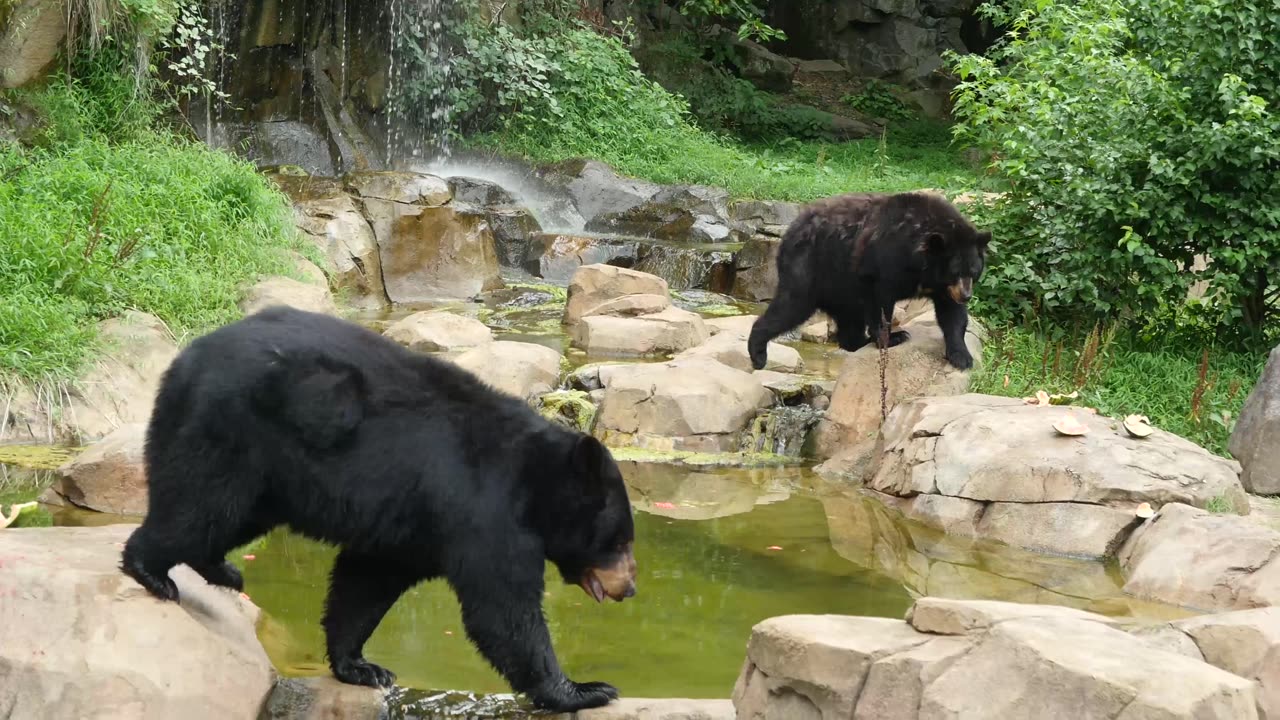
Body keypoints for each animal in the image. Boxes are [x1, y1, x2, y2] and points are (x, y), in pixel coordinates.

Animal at [120, 304, 640, 707]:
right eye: (618, 541)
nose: (630, 588)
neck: (534, 482)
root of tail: (185, 358)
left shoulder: (412, 520)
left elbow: (367, 580)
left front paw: (360, 665)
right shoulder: (482, 510)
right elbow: (502, 608)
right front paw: (583, 689)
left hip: (264, 472)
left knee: (226, 516)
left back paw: (221, 569)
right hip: (231, 430)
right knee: (200, 504)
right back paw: (151, 570)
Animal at [742, 190, 988, 368]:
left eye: (974, 272)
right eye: (955, 272)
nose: (966, 296)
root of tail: (790, 229)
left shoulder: (943, 287)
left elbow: (952, 314)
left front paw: (962, 356)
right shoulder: (884, 260)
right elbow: (879, 301)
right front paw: (893, 337)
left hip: (839, 289)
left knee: (849, 322)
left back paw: (858, 341)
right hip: (811, 267)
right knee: (792, 305)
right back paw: (758, 353)